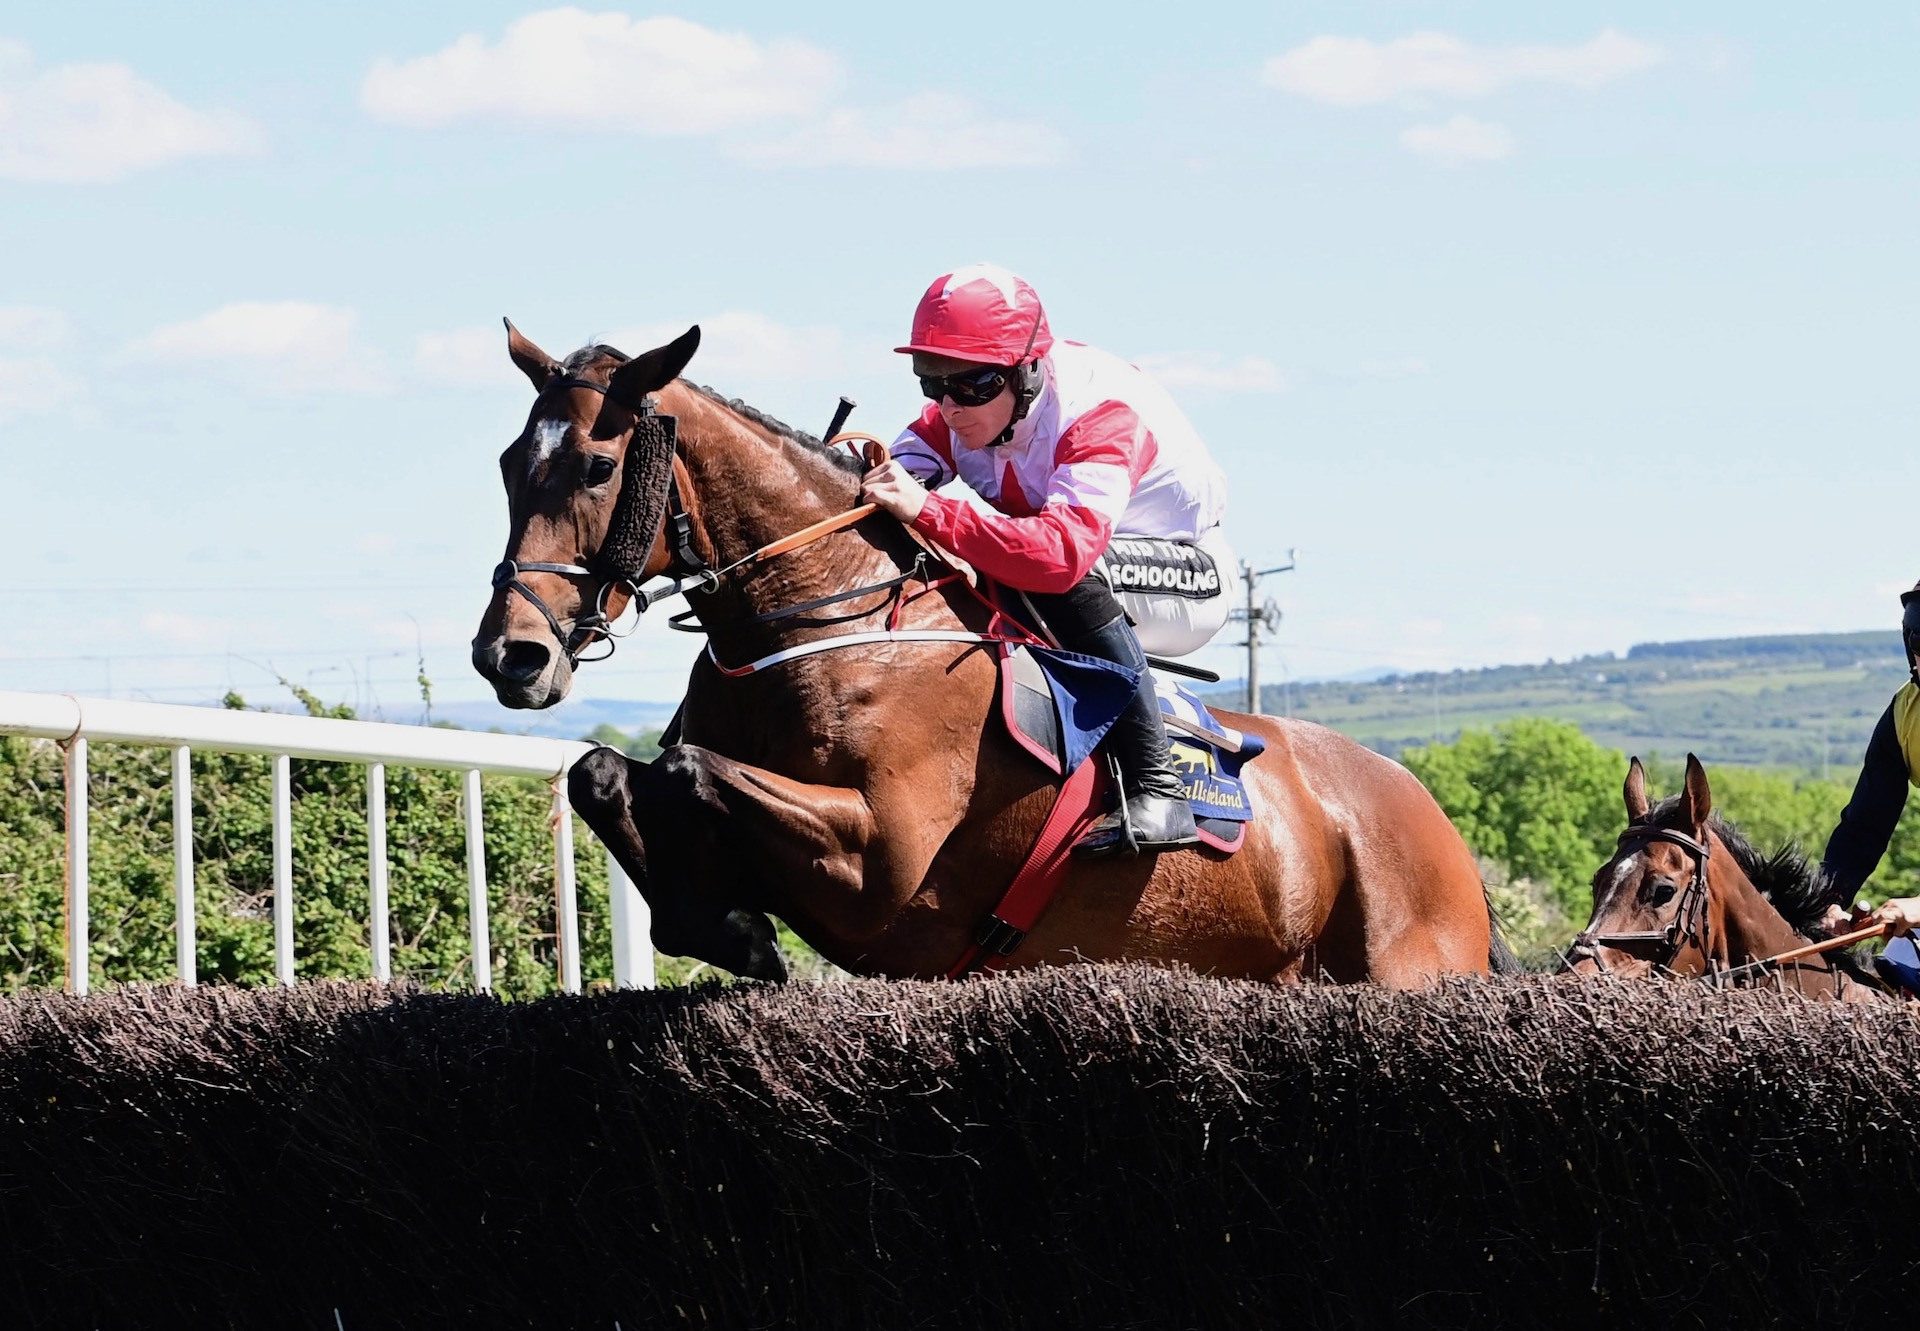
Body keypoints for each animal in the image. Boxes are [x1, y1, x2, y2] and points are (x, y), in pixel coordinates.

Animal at [468, 324, 1512, 983]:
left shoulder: (883, 861)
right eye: (511, 464)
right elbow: (604, 771)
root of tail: (1431, 817)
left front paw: (734, 926)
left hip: (1407, 969)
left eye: (598, 466)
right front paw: (719, 919)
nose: (509, 656)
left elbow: (688, 765)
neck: (826, 619)